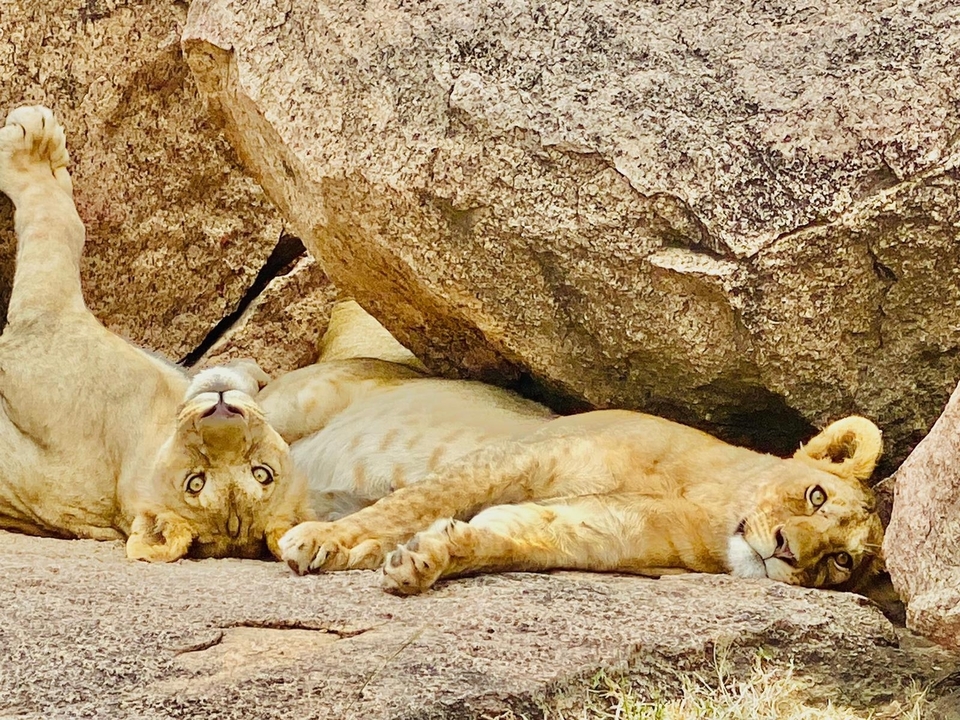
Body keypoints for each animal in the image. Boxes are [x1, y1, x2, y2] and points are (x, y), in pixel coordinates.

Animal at [0, 105, 313, 561]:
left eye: (194, 483)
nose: (222, 410)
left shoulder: (42, 325)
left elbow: (59, 225)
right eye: (263, 472)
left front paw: (33, 146)